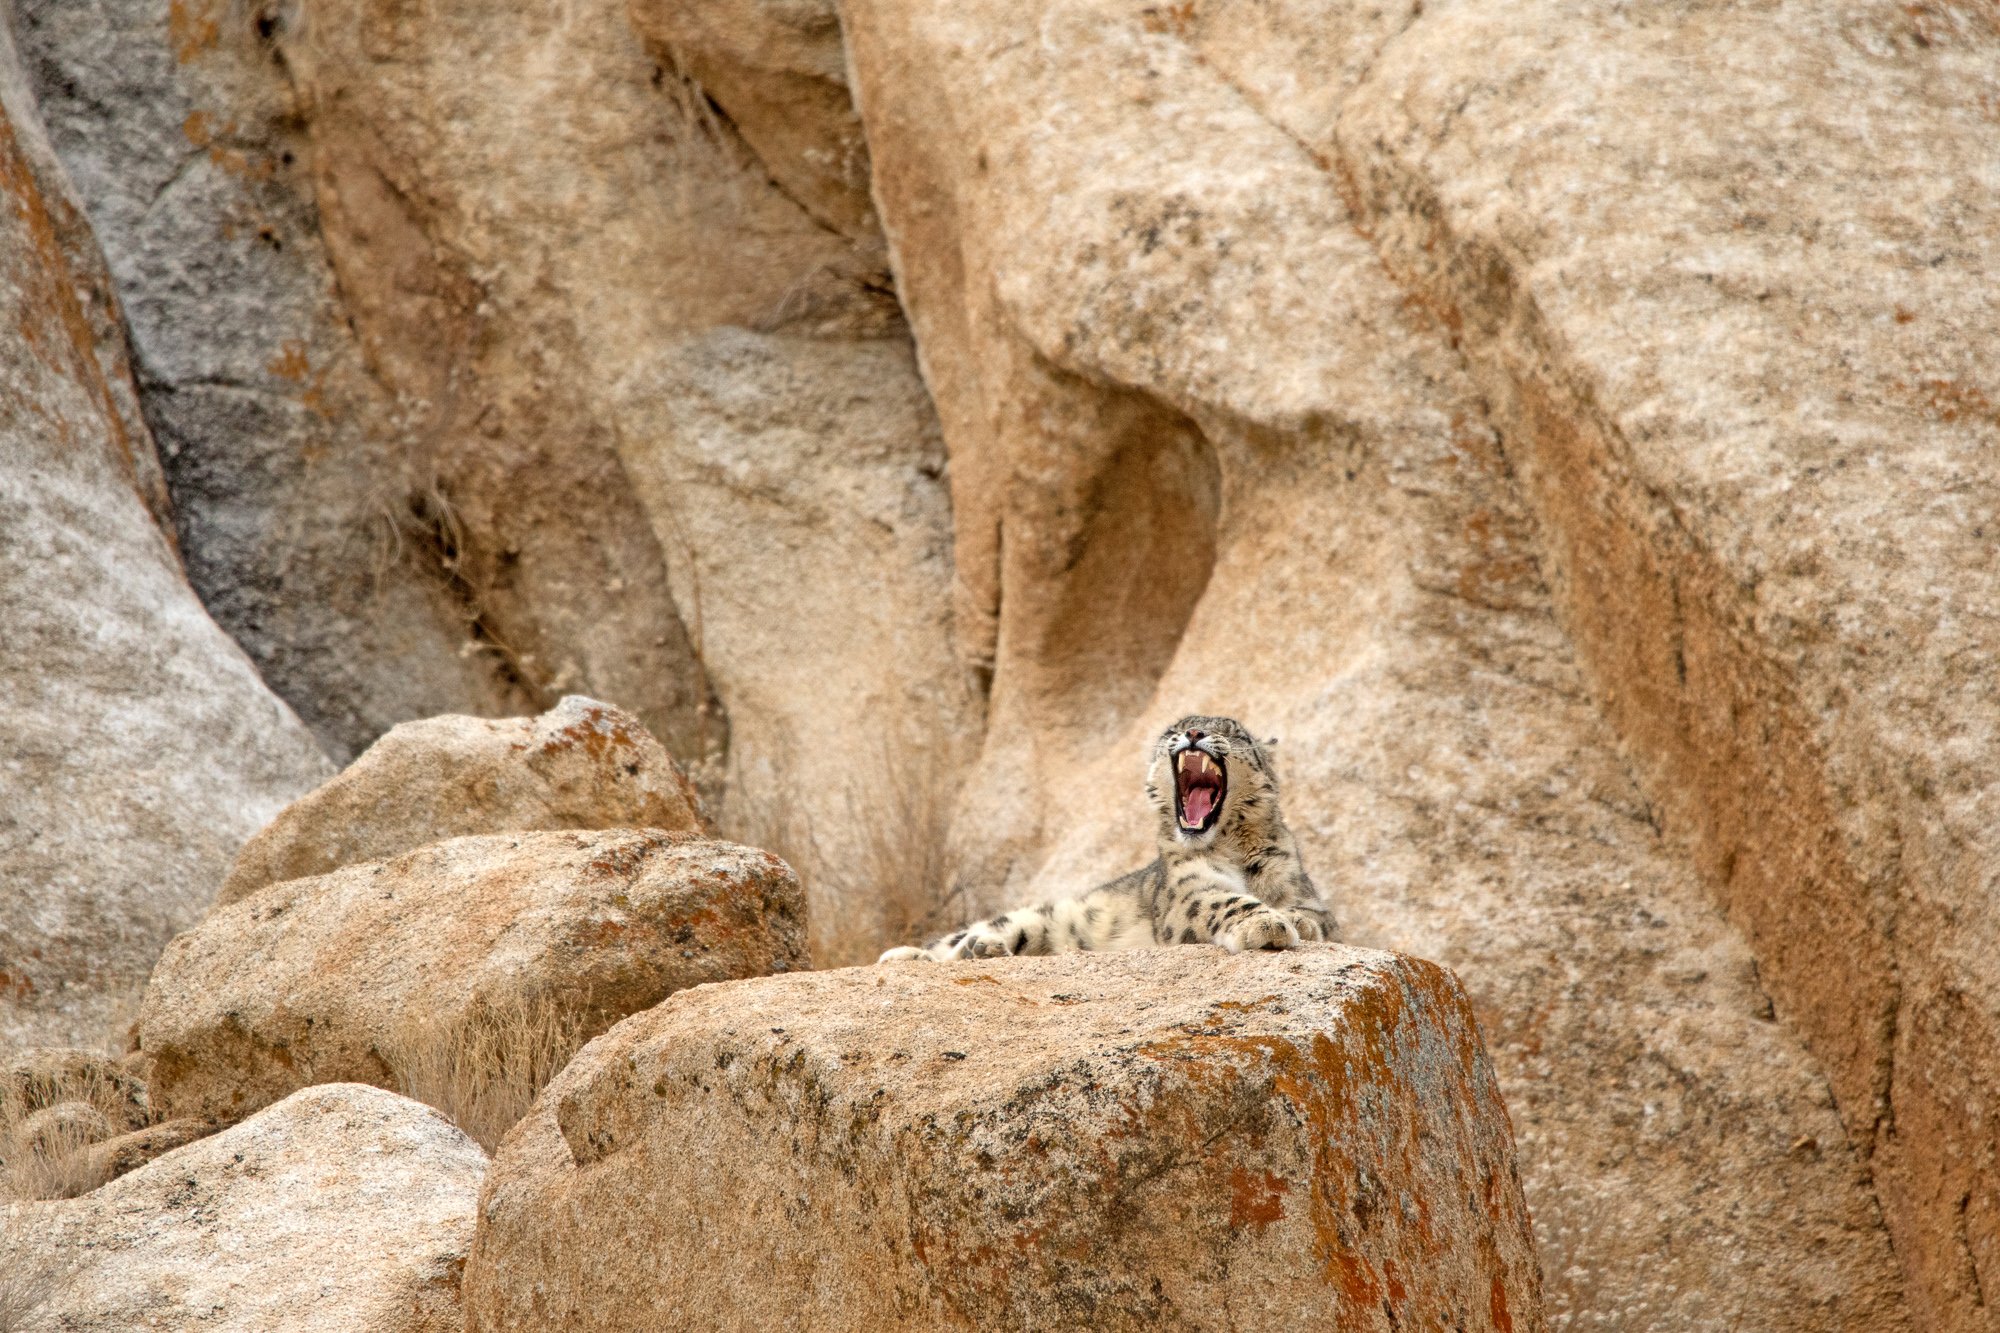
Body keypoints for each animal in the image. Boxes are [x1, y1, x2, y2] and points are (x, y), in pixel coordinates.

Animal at [878, 714, 1336, 962]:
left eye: (1234, 732)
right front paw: (1265, 923)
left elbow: (1313, 916)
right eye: (1174, 728)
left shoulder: (1301, 888)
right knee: (956, 938)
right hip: (1030, 916)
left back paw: (982, 950)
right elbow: (1223, 901)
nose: (1192, 735)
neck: (1232, 847)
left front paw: (1294, 921)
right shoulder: (1188, 891)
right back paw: (912, 954)